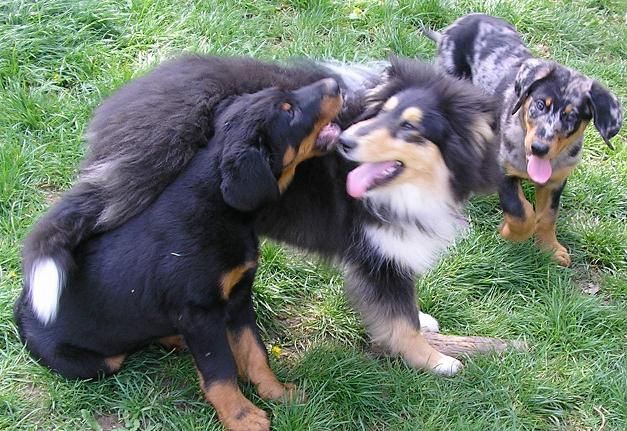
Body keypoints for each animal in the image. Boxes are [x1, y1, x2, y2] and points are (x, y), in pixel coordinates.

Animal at [13, 77, 344, 431]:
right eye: (288, 110)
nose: (335, 83)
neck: (219, 206)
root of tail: (20, 307)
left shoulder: (238, 298)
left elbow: (254, 352)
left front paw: (277, 392)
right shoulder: (199, 311)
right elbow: (220, 371)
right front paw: (241, 416)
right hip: (99, 362)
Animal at [424, 14, 624, 266]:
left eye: (571, 117)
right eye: (540, 104)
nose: (539, 148)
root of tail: (463, 20)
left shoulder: (556, 181)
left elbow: (548, 215)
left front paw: (550, 248)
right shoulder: (502, 169)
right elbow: (521, 211)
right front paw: (510, 233)